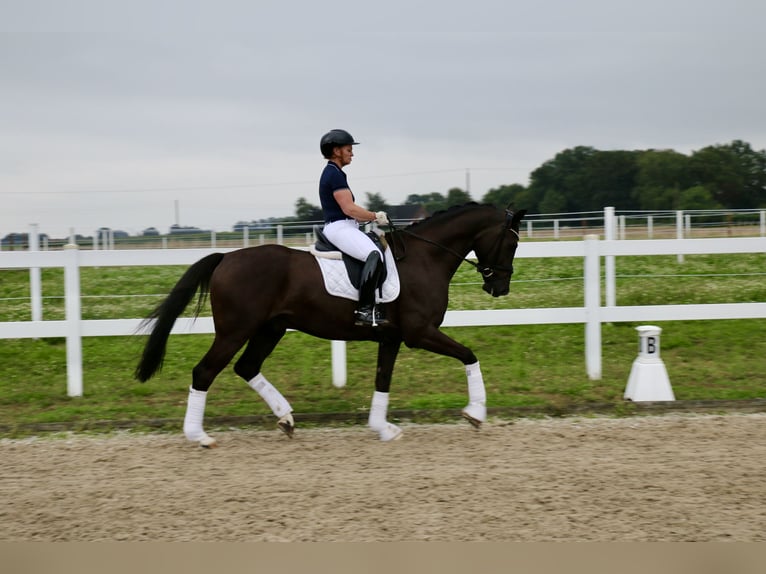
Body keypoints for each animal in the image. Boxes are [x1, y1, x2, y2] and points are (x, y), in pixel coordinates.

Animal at [135, 205, 524, 448]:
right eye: (512, 242)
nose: (499, 287)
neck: (425, 258)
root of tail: (226, 258)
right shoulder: (420, 333)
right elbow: (469, 355)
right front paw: (476, 413)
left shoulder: (392, 337)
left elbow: (383, 380)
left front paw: (383, 429)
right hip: (235, 331)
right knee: (204, 372)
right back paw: (199, 437)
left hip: (270, 329)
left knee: (247, 367)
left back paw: (286, 419)